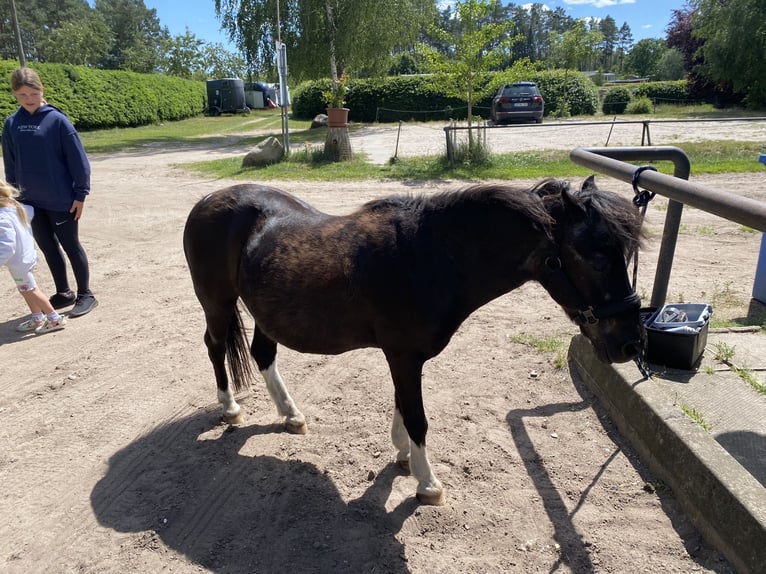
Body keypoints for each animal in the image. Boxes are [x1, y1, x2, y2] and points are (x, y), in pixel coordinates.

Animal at [183, 178, 644, 506]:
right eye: (595, 256)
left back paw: (291, 415)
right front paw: (427, 483)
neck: (430, 257)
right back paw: (230, 408)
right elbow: (418, 417)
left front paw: (402, 454)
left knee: (263, 354)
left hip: (265, 310)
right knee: (214, 345)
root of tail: (208, 200)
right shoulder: (404, 356)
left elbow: (402, 407)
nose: (629, 344)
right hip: (217, 302)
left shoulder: (402, 357)